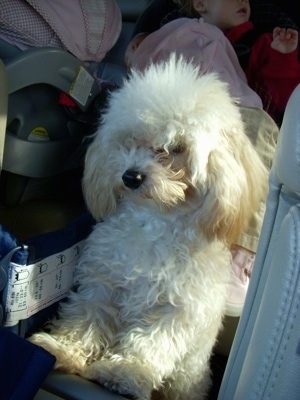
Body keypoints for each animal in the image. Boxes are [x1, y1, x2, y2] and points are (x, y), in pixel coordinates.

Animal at [28, 56, 268, 400]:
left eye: (177, 148)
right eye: (130, 139)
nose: (131, 176)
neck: (155, 221)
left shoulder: (176, 310)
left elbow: (150, 343)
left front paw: (123, 372)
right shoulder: (103, 284)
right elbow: (85, 319)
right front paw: (61, 349)